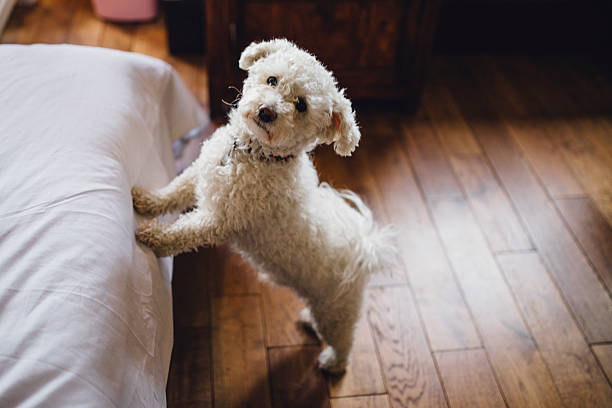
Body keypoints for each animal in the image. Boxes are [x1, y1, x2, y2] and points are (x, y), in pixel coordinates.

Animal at [133, 39, 396, 372]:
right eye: (272, 80)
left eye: (301, 105)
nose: (267, 111)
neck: (253, 154)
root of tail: (365, 249)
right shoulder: (198, 175)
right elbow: (174, 192)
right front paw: (146, 201)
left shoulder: (221, 220)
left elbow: (183, 233)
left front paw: (153, 236)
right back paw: (308, 321)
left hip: (337, 311)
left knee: (344, 343)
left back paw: (332, 364)